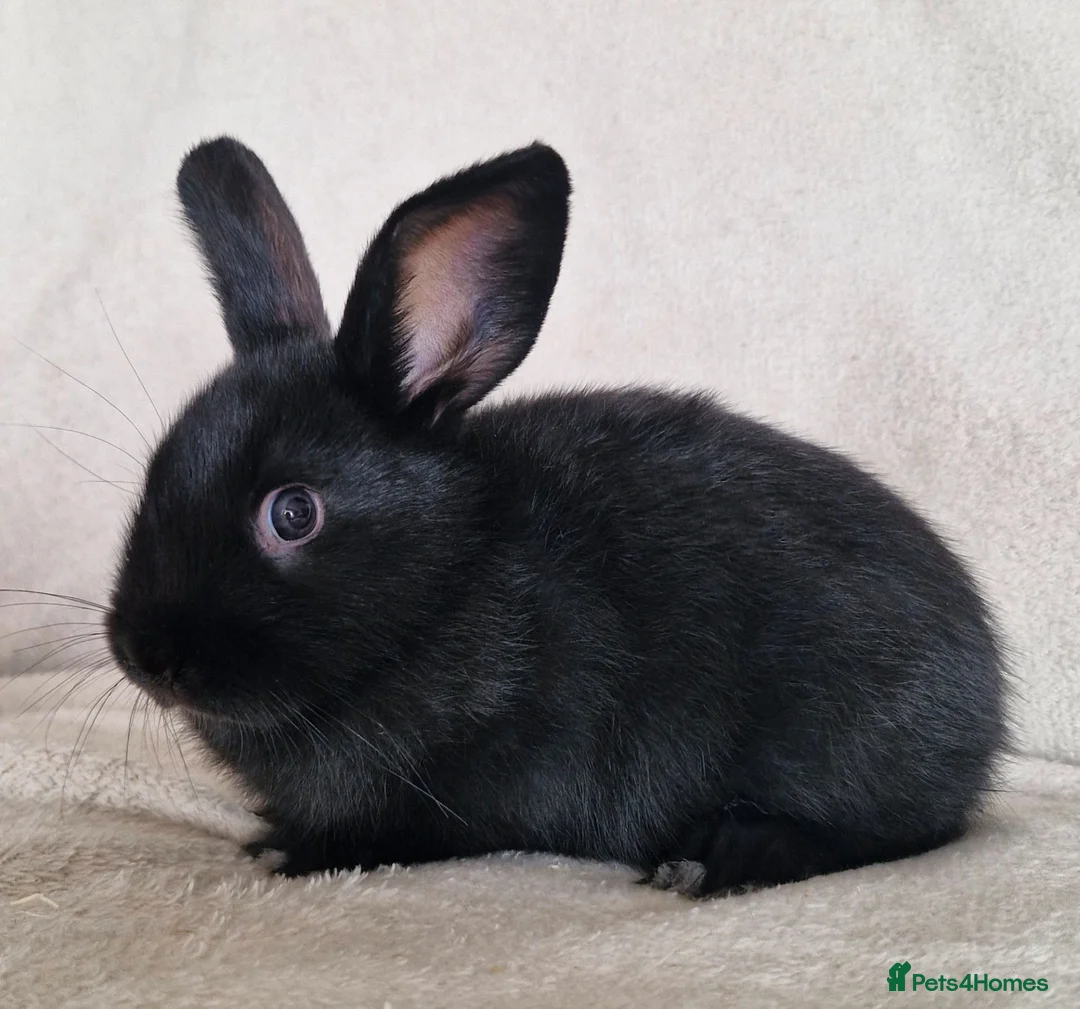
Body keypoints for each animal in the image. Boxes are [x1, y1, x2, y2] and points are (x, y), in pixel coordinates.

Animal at [106, 136, 1009, 897]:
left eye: (293, 513)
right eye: (156, 472)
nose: (148, 655)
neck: (444, 590)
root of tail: (986, 697)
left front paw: (291, 851)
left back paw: (717, 856)